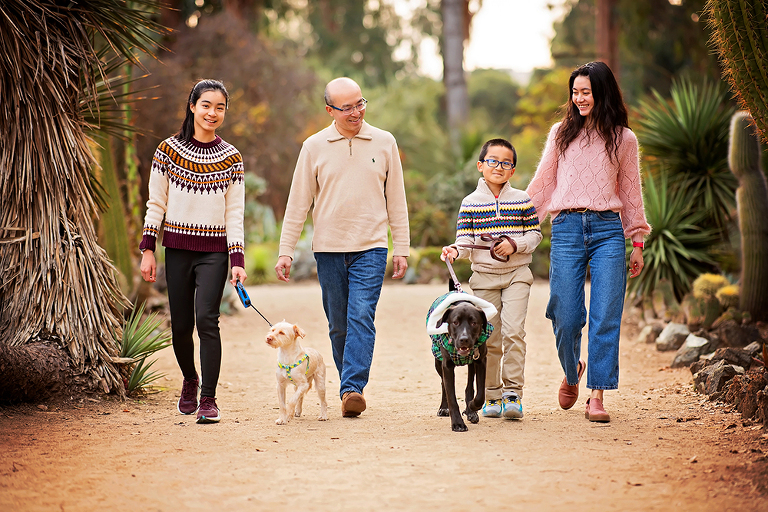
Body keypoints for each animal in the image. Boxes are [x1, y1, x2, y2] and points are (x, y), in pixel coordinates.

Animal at [436, 300, 488, 432]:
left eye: (474, 323)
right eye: (455, 322)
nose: (464, 339)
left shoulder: (481, 361)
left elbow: (480, 394)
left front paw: (472, 406)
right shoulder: (447, 366)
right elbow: (451, 397)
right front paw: (458, 423)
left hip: (472, 364)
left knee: (469, 386)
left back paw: (471, 411)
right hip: (437, 362)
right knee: (443, 383)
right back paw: (443, 408)